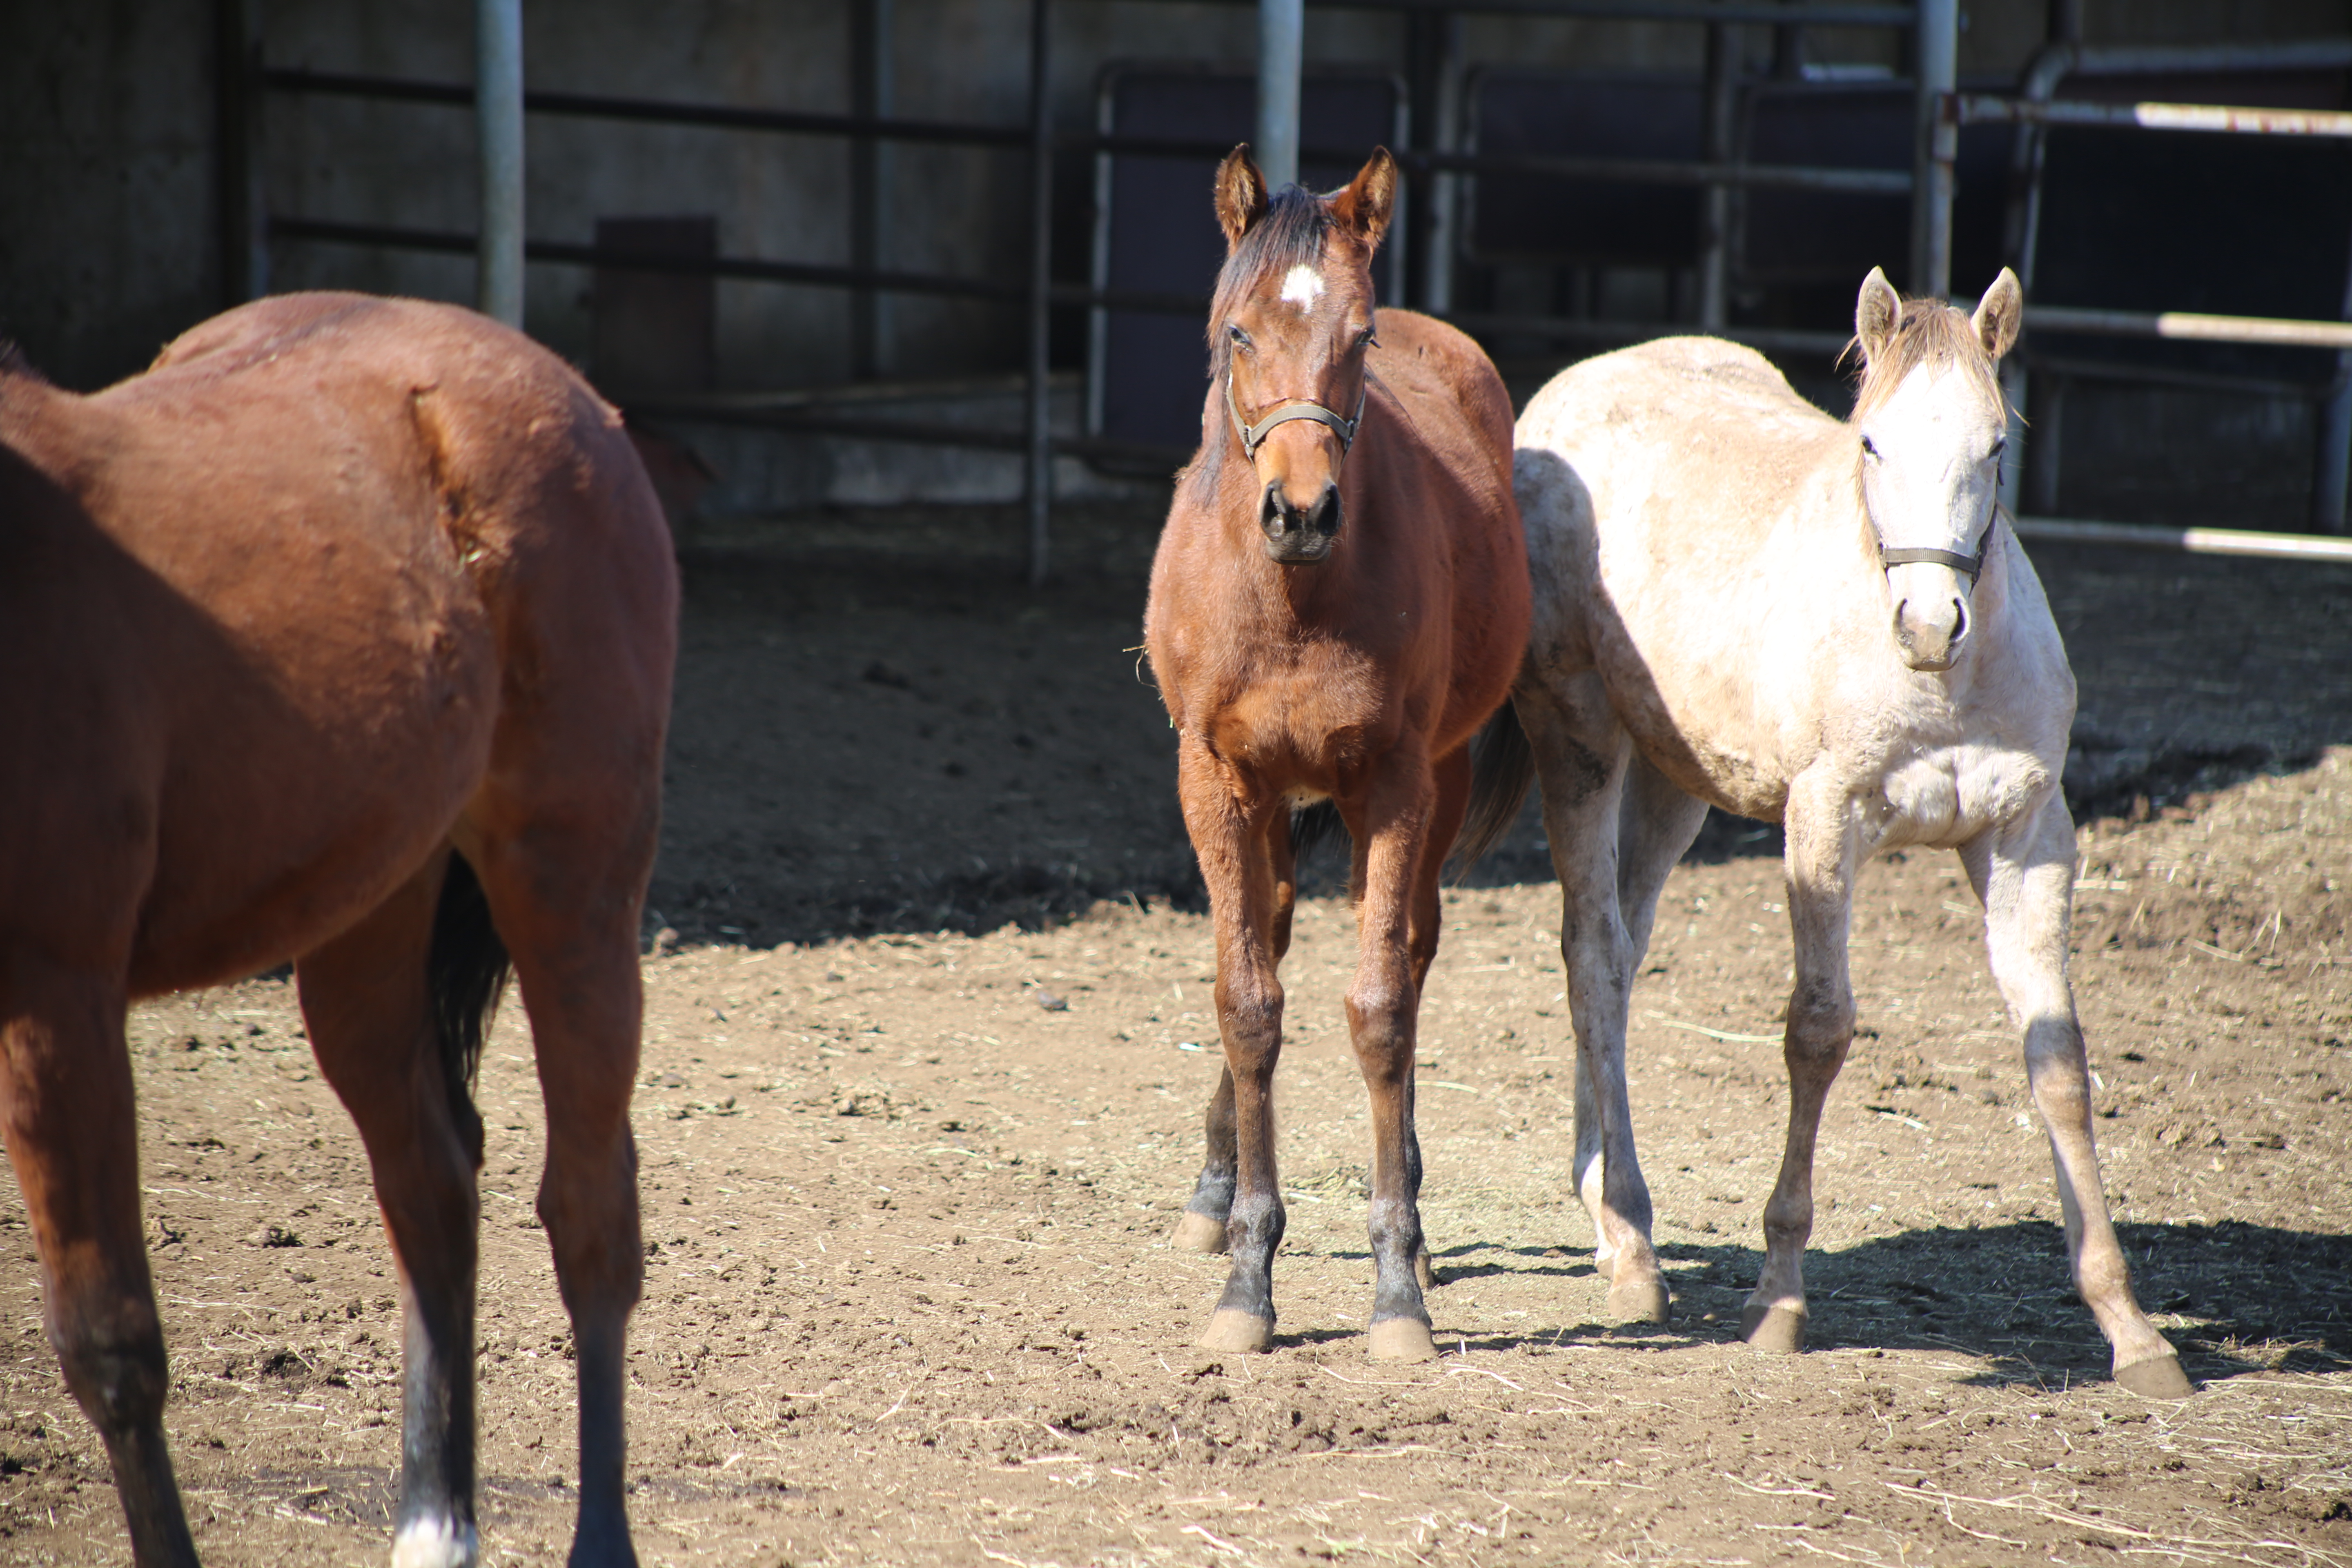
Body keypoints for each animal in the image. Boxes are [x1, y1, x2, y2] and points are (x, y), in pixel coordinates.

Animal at [2, 291, 682, 1561]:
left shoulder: (58, 991)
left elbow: (111, 1345)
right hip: (368, 918)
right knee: (431, 1187)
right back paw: (434, 1518)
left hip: (573, 894)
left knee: (589, 1218)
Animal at [1143, 153, 1543, 1363]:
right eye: (1237, 332)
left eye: (1357, 337)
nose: (1302, 510)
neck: (1293, 599)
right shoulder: (1215, 779)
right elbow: (1247, 1002)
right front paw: (1246, 1274)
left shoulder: (1397, 780)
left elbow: (1378, 1010)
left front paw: (1395, 1284)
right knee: (1267, 937)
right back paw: (1213, 1188)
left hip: (1435, 787)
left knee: (1406, 952)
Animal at [1496, 267, 2192, 1401]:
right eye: (1870, 443)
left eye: (1993, 446)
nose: (1928, 622)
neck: (1942, 688)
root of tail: (1556, 399)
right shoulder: (1821, 826)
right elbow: (1817, 1033)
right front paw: (1778, 1299)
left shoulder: (2027, 836)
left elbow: (2055, 1057)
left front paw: (2129, 1327)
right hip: (1579, 737)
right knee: (1592, 954)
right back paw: (1634, 1250)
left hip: (1674, 781)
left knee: (1621, 957)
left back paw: (1603, 1207)